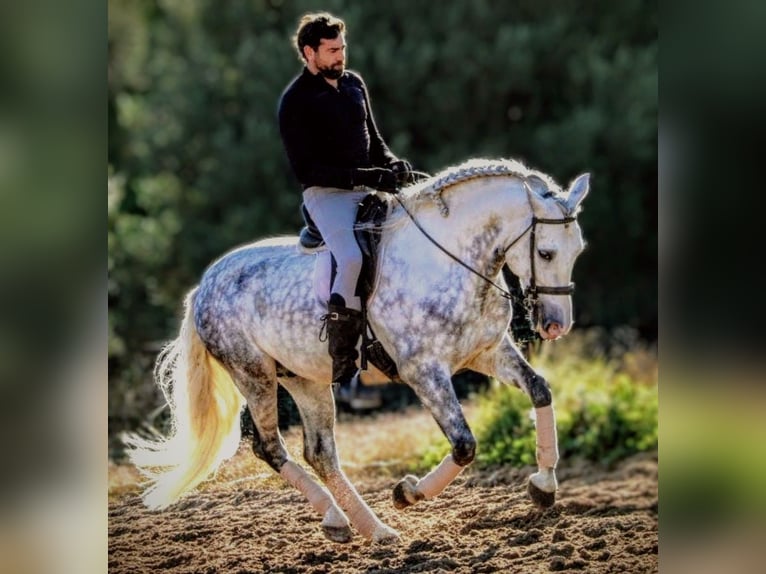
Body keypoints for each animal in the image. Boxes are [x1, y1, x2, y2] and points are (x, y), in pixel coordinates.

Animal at [124, 157, 590, 544]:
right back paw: (349, 519)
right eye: (545, 251)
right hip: (253, 376)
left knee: (320, 453)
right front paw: (407, 493)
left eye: (577, 251)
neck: (450, 260)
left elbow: (540, 390)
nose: (555, 325)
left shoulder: (488, 352)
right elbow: (464, 445)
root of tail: (203, 286)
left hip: (306, 380)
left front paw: (544, 487)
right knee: (271, 448)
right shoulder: (424, 371)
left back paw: (367, 527)